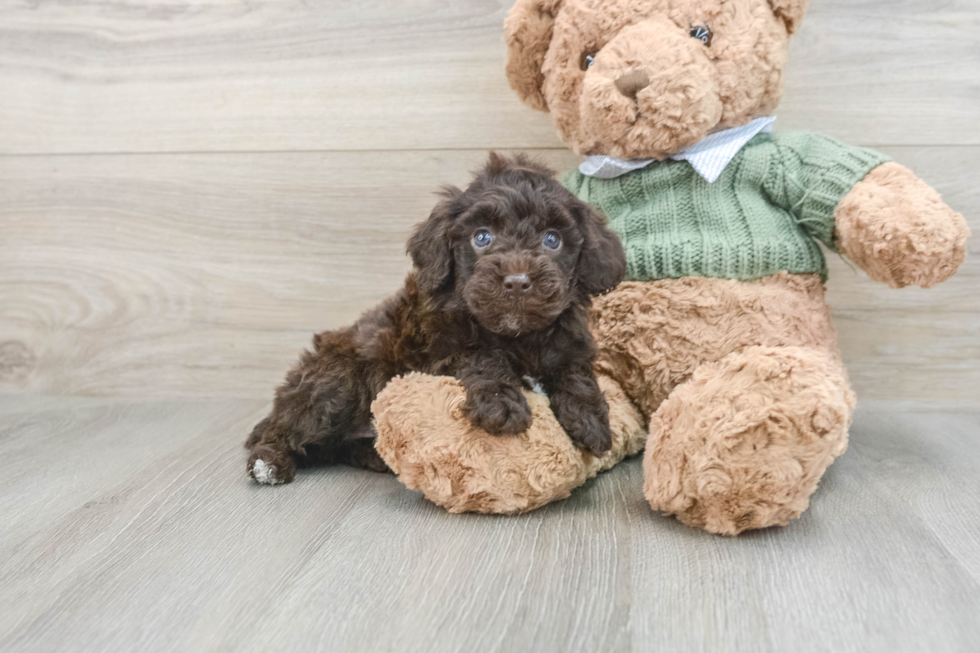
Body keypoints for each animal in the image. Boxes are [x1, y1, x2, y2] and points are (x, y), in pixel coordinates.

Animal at [245, 153, 628, 484]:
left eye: (552, 239)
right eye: (482, 237)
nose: (518, 281)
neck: (516, 334)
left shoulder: (571, 339)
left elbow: (575, 370)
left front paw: (591, 421)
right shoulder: (439, 349)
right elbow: (481, 356)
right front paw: (501, 404)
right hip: (334, 382)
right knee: (287, 431)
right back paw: (269, 463)